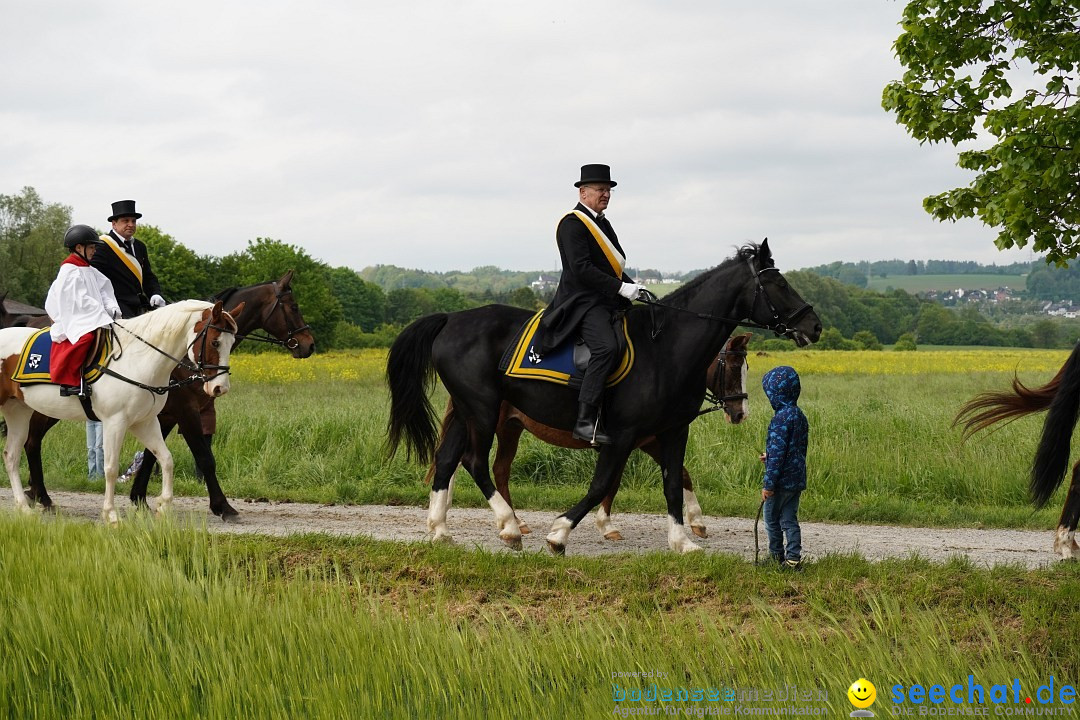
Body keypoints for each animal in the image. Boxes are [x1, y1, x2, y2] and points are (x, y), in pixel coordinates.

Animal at [1, 297, 243, 524]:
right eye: (215, 341)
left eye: (232, 343)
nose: (220, 388)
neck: (138, 360)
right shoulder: (117, 422)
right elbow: (111, 468)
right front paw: (111, 514)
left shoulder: (146, 421)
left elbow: (164, 459)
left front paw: (162, 505)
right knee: (29, 446)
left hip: (19, 411)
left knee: (12, 455)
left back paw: (26, 506)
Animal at [425, 332, 756, 539]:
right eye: (733, 366)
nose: (740, 412)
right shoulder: (628, 442)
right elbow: (612, 482)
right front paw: (605, 525)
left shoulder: (644, 442)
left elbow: (680, 474)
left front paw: (697, 522)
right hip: (492, 424)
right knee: (477, 464)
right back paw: (504, 520)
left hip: (509, 428)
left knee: (487, 466)